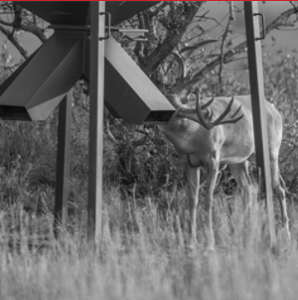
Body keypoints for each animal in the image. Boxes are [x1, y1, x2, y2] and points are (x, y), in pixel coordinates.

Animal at [157, 91, 290, 251]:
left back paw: (285, 235)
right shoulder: (189, 163)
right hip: (239, 160)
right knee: (250, 188)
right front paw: (190, 243)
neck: (193, 133)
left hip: (272, 150)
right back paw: (247, 232)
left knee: (279, 187)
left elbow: (208, 199)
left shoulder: (213, 159)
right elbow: (192, 200)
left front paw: (209, 244)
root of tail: (275, 110)